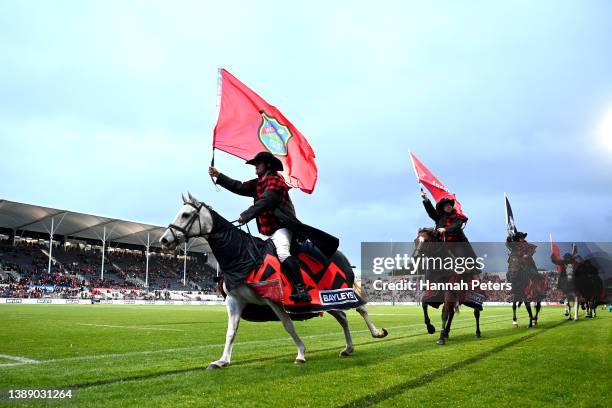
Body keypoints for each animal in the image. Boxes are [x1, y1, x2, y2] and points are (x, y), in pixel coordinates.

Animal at [160, 193, 384, 368]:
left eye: (186, 214)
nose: (164, 240)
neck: (244, 255)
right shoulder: (234, 300)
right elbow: (231, 331)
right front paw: (222, 360)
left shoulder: (273, 298)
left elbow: (288, 325)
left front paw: (301, 353)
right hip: (323, 300)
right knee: (343, 317)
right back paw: (348, 348)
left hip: (341, 289)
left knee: (360, 308)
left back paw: (377, 332)